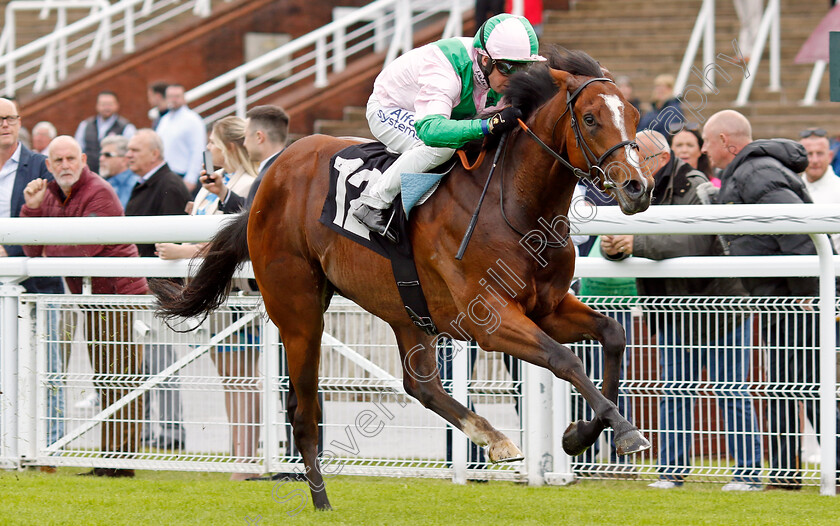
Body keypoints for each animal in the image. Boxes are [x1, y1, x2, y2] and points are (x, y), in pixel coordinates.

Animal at [156, 48, 656, 512]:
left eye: (633, 115)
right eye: (590, 118)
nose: (639, 187)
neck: (514, 204)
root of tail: (266, 181)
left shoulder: (547, 307)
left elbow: (612, 334)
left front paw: (581, 434)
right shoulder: (490, 320)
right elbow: (565, 360)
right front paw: (624, 431)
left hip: (405, 308)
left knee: (421, 386)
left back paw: (492, 438)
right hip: (298, 311)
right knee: (304, 410)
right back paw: (321, 501)